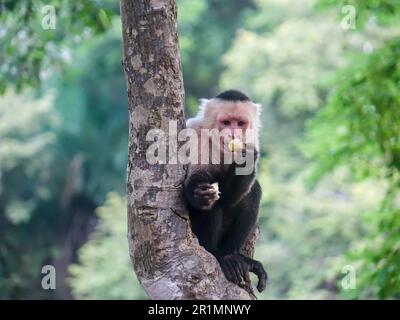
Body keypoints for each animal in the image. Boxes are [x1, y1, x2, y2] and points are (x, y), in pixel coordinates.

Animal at [185, 89, 268, 292]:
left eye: (240, 124)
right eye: (227, 122)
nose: (233, 133)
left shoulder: (252, 141)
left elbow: (232, 197)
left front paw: (245, 160)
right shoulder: (195, 135)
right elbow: (197, 179)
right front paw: (199, 194)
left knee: (252, 192)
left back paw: (235, 256)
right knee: (213, 203)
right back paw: (217, 254)